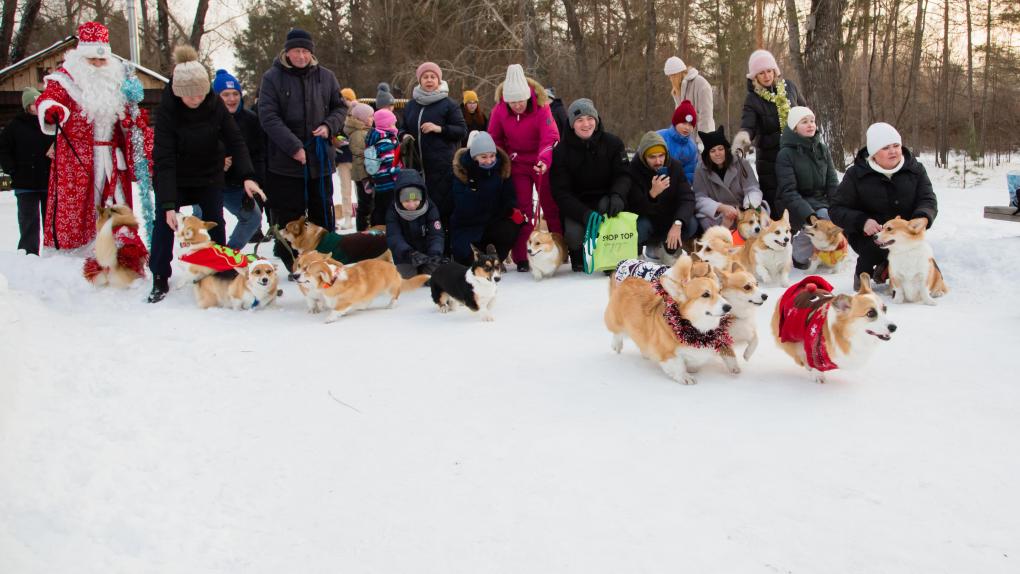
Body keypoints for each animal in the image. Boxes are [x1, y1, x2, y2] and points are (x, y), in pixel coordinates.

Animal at [603, 253, 742, 383]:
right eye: (705, 294)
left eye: (720, 292)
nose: (728, 307)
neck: (695, 329)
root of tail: (628, 280)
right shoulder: (666, 352)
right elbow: (677, 364)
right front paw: (685, 377)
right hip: (615, 319)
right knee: (617, 332)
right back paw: (617, 345)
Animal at [767, 275, 897, 383]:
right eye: (870, 313)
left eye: (885, 309)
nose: (894, 327)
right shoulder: (811, 344)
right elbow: (812, 363)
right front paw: (818, 375)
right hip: (790, 335)